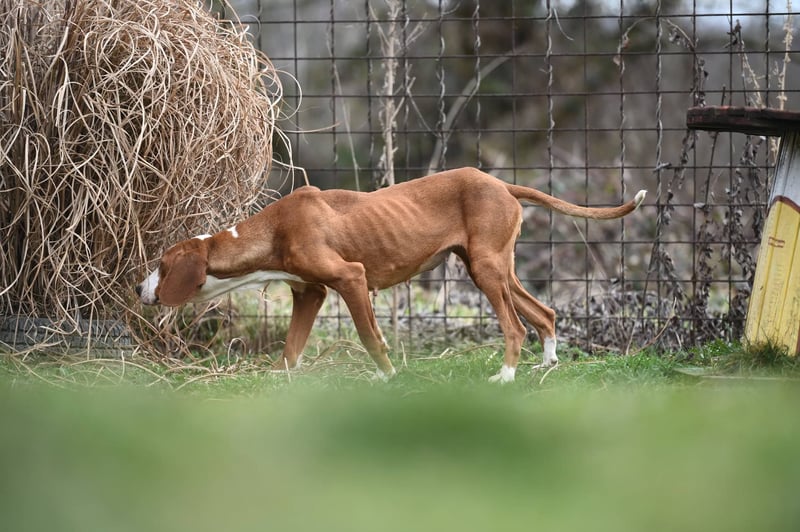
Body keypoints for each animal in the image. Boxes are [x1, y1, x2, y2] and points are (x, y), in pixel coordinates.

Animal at [137, 167, 645, 383]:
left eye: (161, 267)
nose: (139, 289)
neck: (273, 231)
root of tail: (500, 182)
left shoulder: (351, 279)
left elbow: (370, 337)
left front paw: (387, 378)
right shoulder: (309, 294)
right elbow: (290, 350)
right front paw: (278, 384)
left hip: (486, 272)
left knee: (516, 327)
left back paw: (505, 377)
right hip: (495, 268)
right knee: (545, 313)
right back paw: (545, 366)